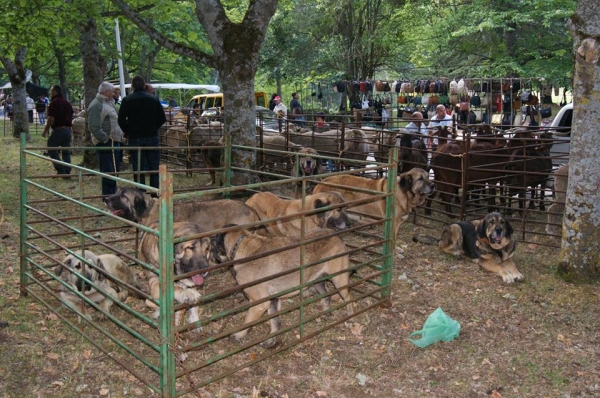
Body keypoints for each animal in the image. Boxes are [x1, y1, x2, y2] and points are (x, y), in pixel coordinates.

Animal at [211, 227, 354, 348]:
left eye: (213, 243)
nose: (210, 255)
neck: (242, 245)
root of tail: (335, 234)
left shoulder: (259, 303)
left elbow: (248, 320)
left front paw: (239, 334)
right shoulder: (273, 300)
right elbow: (275, 322)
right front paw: (271, 341)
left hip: (339, 279)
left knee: (349, 298)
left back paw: (350, 317)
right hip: (316, 280)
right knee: (326, 296)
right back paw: (325, 313)